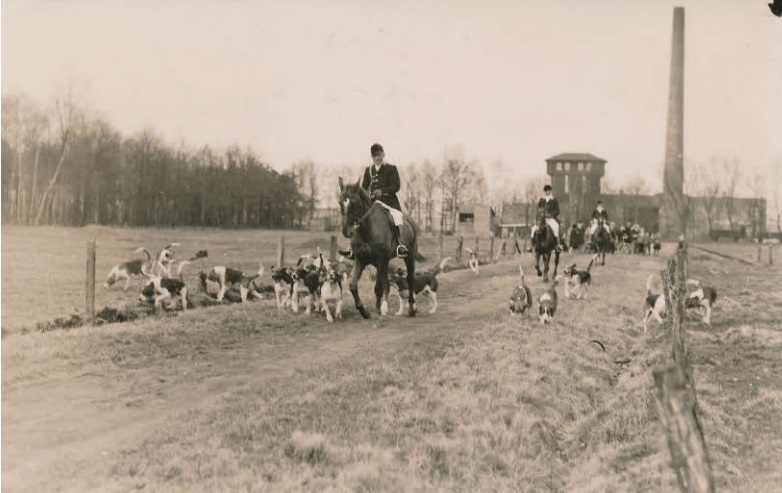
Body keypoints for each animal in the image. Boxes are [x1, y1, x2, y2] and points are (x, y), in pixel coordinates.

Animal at [338, 177, 422, 320]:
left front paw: (376, 310)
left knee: (410, 279)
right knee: (387, 283)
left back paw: (412, 308)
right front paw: (363, 310)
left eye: (354, 203)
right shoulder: (361, 260)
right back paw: (385, 308)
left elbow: (378, 287)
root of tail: (410, 221)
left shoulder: (381, 258)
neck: (367, 230)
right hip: (381, 263)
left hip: (408, 257)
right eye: (340, 202)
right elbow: (353, 285)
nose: (346, 232)